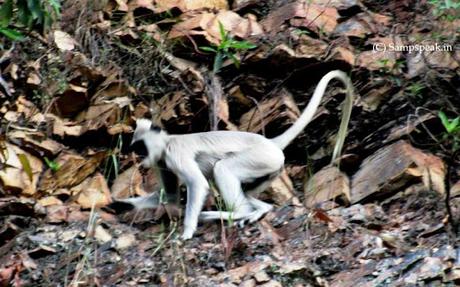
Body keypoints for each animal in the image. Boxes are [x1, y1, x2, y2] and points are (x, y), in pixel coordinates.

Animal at [111, 70, 356, 241]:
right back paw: (258, 210)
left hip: (261, 158)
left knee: (222, 169)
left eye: (141, 148)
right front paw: (118, 205)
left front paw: (187, 231)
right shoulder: (163, 161)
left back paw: (236, 213)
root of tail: (270, 143)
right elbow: (170, 196)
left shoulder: (173, 154)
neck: (168, 141)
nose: (141, 160)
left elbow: (198, 185)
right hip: (270, 170)